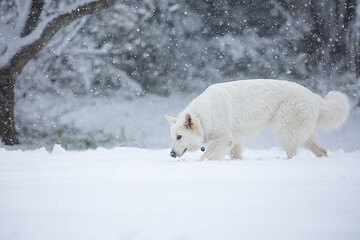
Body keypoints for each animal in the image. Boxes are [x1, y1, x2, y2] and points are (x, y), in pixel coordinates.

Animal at [165, 79, 348, 160]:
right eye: (172, 137)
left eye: (179, 136)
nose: (171, 154)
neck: (204, 116)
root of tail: (315, 98)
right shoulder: (235, 141)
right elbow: (235, 155)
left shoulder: (225, 139)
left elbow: (205, 157)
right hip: (302, 135)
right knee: (321, 151)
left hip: (283, 131)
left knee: (294, 152)